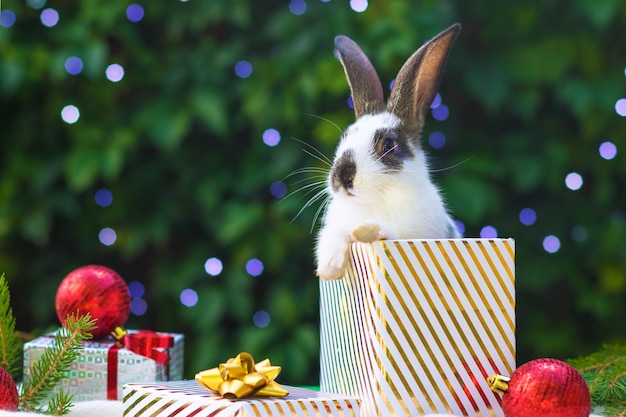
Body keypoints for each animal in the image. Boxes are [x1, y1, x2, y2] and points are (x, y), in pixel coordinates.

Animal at [316, 24, 458, 282]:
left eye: (388, 145)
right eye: (345, 137)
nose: (342, 177)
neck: (375, 202)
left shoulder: (416, 234)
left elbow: (392, 234)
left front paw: (366, 231)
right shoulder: (334, 226)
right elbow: (333, 236)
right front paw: (329, 268)